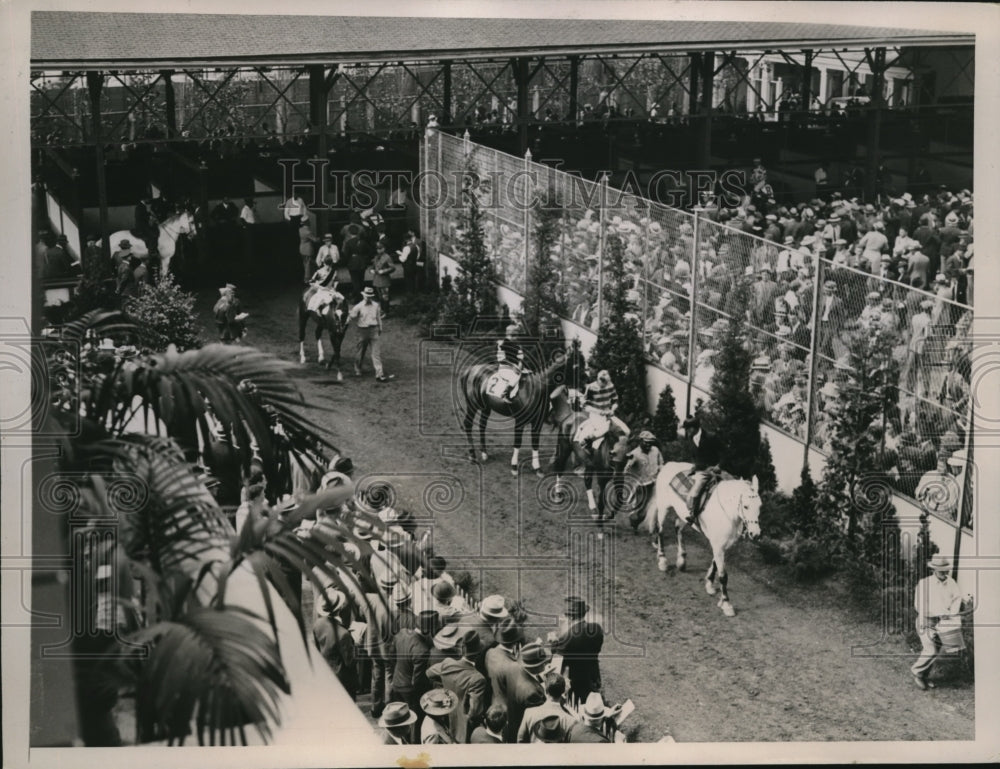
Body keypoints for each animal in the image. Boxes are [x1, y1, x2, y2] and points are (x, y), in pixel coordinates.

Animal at [552, 388, 628, 524]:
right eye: (612, 453)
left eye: (626, 458)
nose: (616, 473)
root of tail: (571, 415)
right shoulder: (602, 478)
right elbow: (602, 499)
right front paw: (601, 518)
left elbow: (619, 499)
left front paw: (607, 516)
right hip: (564, 448)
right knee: (560, 468)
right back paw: (558, 494)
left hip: (588, 462)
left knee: (587, 480)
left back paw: (592, 509)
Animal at [644, 462, 760, 616]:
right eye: (746, 506)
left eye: (760, 506)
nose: (755, 534)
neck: (727, 513)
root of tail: (668, 465)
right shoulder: (718, 545)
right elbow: (723, 575)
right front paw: (726, 604)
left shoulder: (724, 545)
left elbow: (715, 564)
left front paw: (709, 584)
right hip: (664, 507)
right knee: (661, 531)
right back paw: (663, 560)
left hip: (683, 515)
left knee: (677, 528)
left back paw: (681, 560)